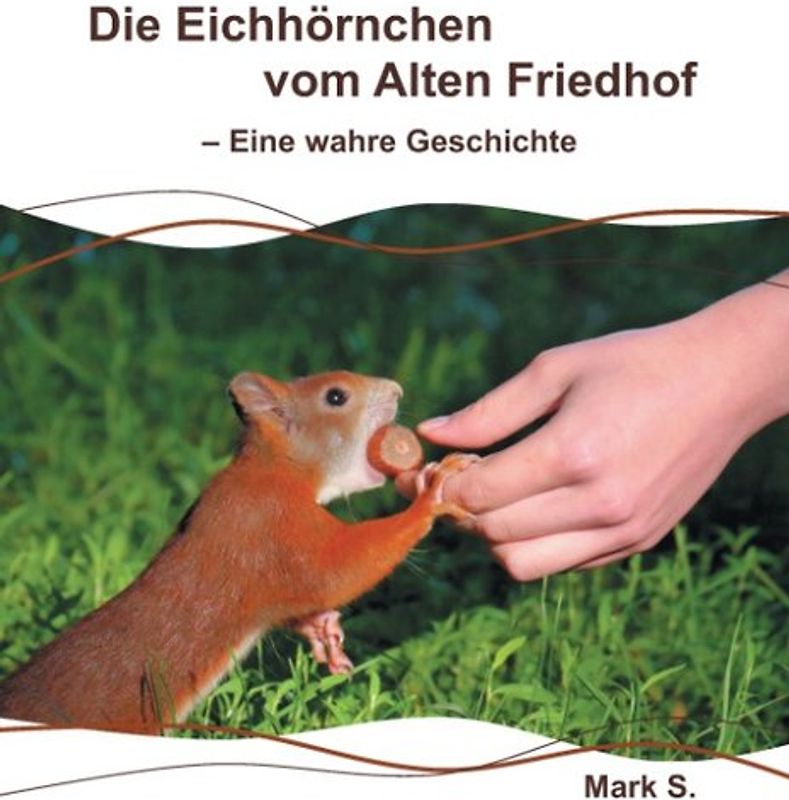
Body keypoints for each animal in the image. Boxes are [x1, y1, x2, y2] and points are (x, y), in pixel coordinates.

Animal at [0, 370, 473, 732]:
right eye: (336, 396)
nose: (396, 390)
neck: (270, 471)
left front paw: (322, 630)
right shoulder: (268, 522)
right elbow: (333, 570)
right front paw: (429, 497)